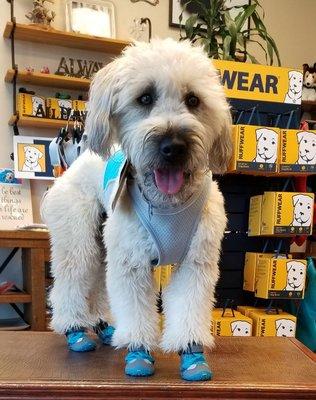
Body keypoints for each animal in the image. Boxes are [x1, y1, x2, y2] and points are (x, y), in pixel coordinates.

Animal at [40, 39, 231, 382]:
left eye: (193, 100)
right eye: (145, 97)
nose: (173, 146)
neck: (167, 205)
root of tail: (77, 162)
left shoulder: (195, 264)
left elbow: (188, 309)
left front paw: (192, 354)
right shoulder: (131, 264)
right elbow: (135, 311)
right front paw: (138, 352)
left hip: (103, 246)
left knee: (98, 286)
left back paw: (104, 326)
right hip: (78, 242)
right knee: (71, 283)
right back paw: (76, 331)